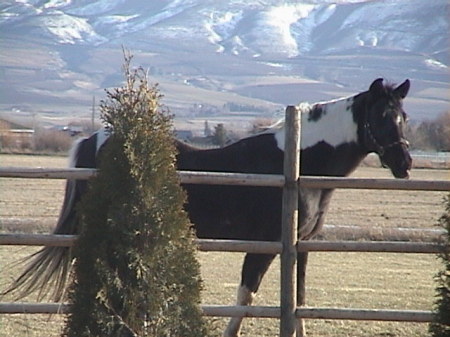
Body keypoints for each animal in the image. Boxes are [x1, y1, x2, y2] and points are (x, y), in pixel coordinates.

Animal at [4, 77, 412, 334]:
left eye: (404, 117)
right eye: (381, 116)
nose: (405, 163)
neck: (298, 161)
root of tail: (93, 140)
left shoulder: (302, 247)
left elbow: (298, 301)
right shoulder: (263, 247)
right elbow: (245, 299)